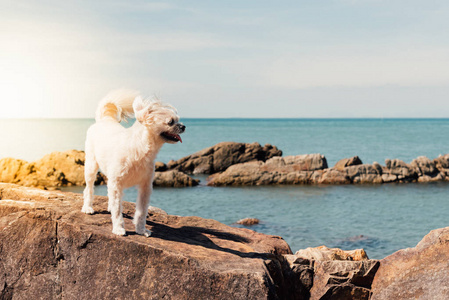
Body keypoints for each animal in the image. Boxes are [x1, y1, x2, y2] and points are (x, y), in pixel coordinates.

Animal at [81, 89, 185, 237]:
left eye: (178, 120)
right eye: (170, 122)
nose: (183, 126)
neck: (140, 149)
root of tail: (105, 120)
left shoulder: (145, 186)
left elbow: (141, 211)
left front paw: (141, 229)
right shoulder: (117, 183)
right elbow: (117, 209)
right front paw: (118, 228)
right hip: (91, 166)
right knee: (89, 188)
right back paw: (88, 207)